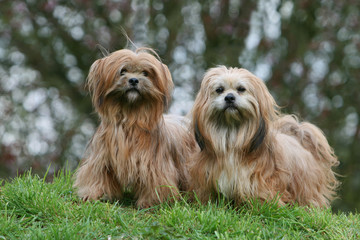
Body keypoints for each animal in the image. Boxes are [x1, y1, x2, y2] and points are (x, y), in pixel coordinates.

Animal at [73, 47, 195, 208]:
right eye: (123, 71)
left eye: (145, 73)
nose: (133, 80)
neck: (130, 119)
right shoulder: (101, 159)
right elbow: (98, 176)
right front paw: (96, 195)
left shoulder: (152, 166)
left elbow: (155, 183)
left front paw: (151, 202)